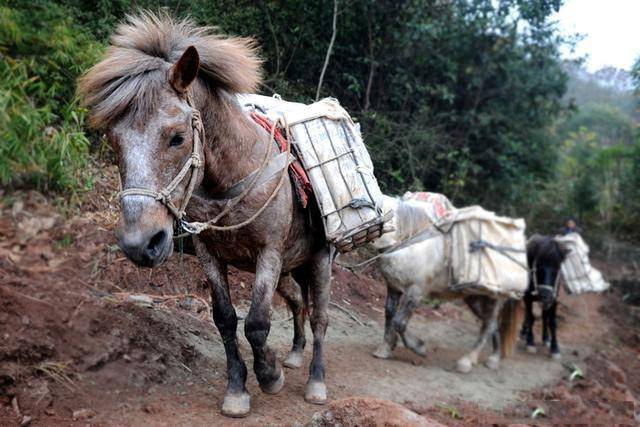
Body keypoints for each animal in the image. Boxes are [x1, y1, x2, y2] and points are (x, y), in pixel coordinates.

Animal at [75, 12, 332, 418]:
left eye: (177, 138)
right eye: (113, 142)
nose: (140, 244)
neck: (232, 179)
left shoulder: (269, 253)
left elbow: (256, 323)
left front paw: (270, 374)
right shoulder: (210, 255)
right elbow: (225, 319)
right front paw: (237, 389)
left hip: (320, 258)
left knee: (320, 316)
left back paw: (315, 382)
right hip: (292, 267)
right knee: (295, 300)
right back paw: (294, 354)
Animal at [368, 197, 524, 374]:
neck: (411, 241)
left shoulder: (415, 291)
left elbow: (399, 322)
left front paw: (419, 347)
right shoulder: (394, 287)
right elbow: (389, 314)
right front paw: (385, 348)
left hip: (496, 298)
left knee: (489, 325)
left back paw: (467, 361)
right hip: (476, 299)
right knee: (491, 324)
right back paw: (494, 358)